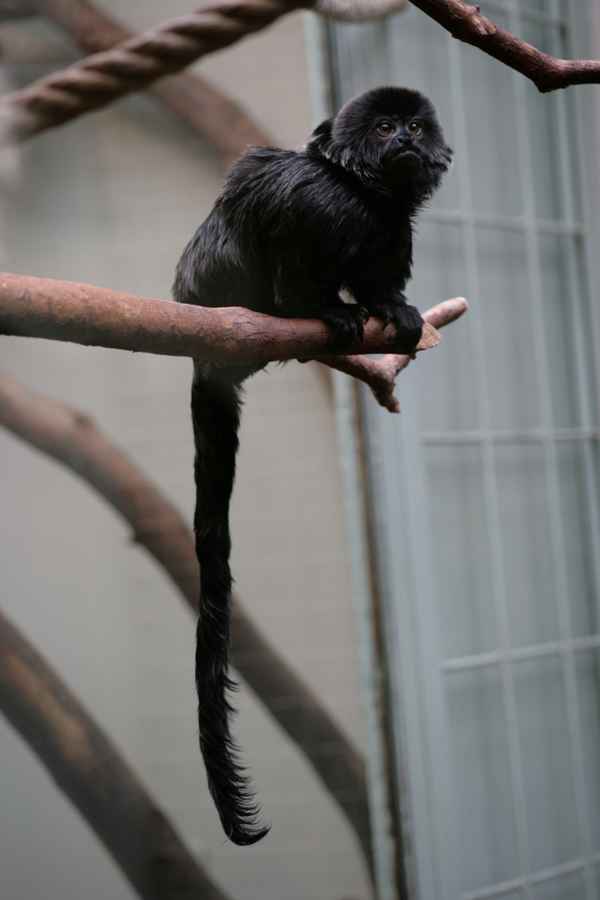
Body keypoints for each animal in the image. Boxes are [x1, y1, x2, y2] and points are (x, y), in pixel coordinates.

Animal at [173, 86, 452, 845]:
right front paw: (326, 309)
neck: (363, 195)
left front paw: (387, 306)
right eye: (383, 127)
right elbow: (290, 246)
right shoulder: (307, 198)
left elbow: (383, 271)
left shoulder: (393, 231)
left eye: (414, 125)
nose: (405, 138)